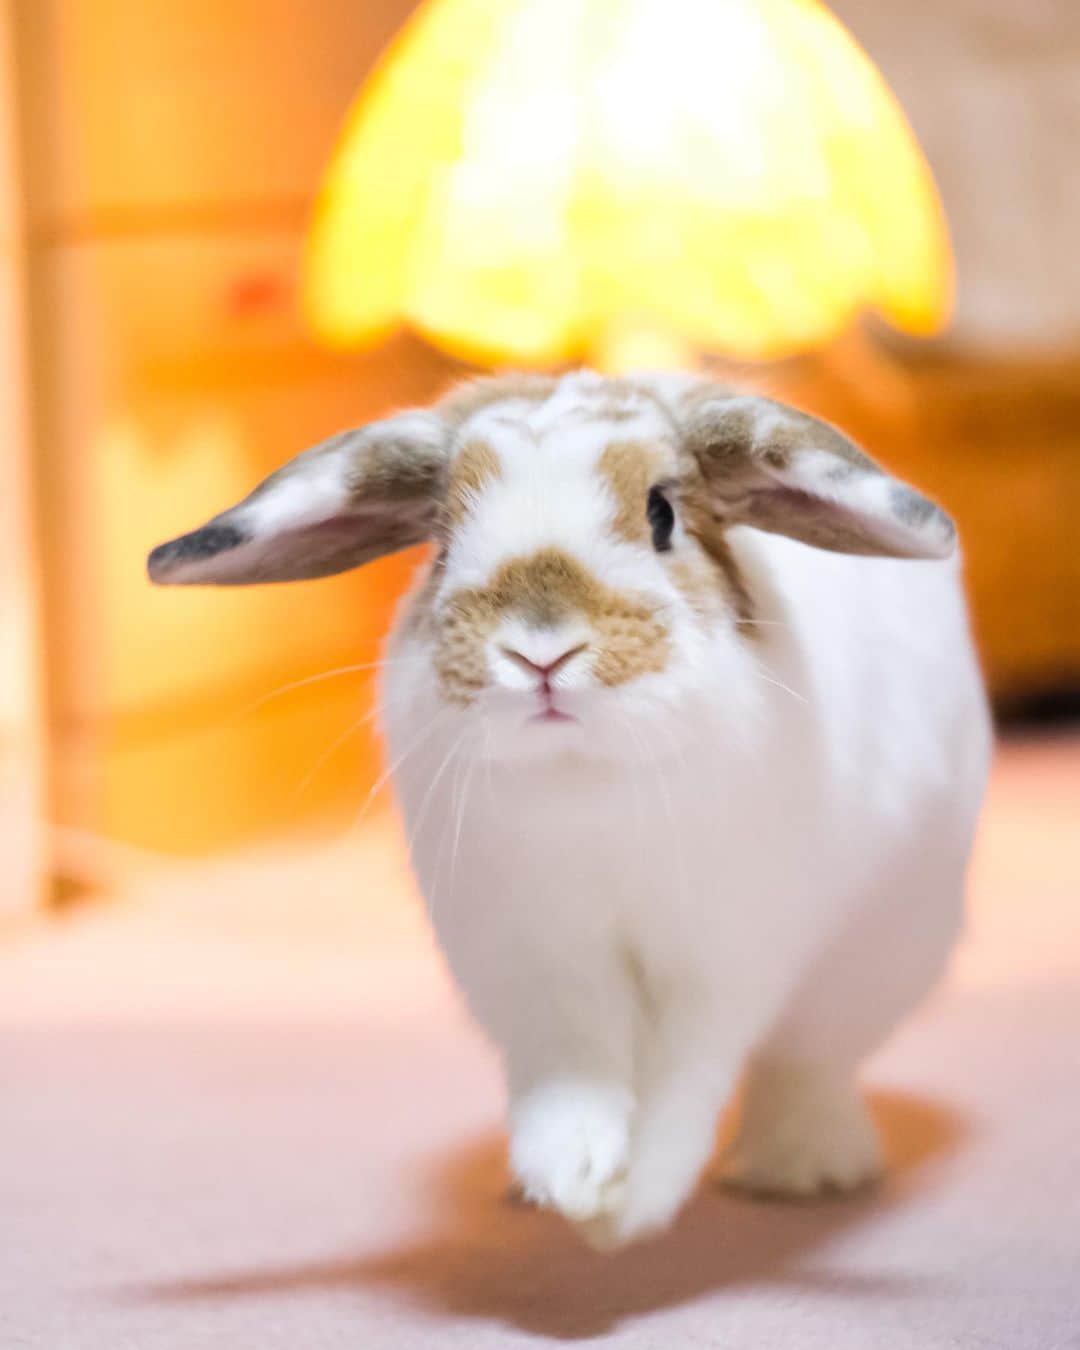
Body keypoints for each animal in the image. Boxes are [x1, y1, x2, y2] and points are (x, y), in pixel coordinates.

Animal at [148, 370, 991, 1249]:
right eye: (442, 537)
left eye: (662, 515)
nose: (540, 652)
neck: (584, 778)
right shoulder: (534, 964)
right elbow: (573, 1073)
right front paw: (573, 1183)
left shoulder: (719, 961)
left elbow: (682, 1082)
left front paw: (630, 1210)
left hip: (884, 952)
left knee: (808, 1063)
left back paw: (805, 1169)